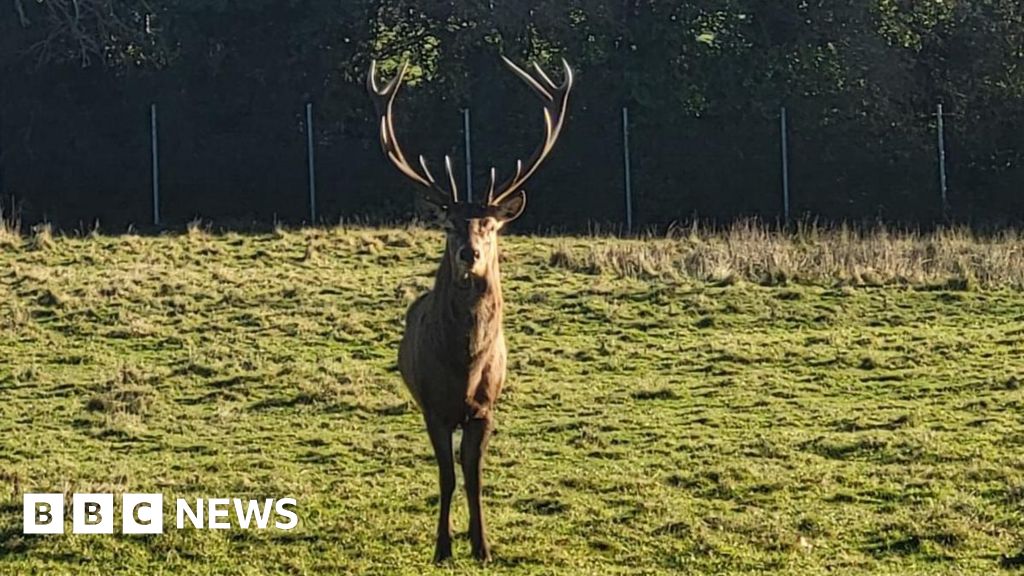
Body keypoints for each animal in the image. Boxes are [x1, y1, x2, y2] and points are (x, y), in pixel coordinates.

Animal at [367, 56, 573, 563]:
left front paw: (482, 545)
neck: (463, 366)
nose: (469, 253)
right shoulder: (433, 408)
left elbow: (474, 477)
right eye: (450, 225)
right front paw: (442, 547)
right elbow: (446, 476)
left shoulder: (485, 408)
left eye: (490, 225)